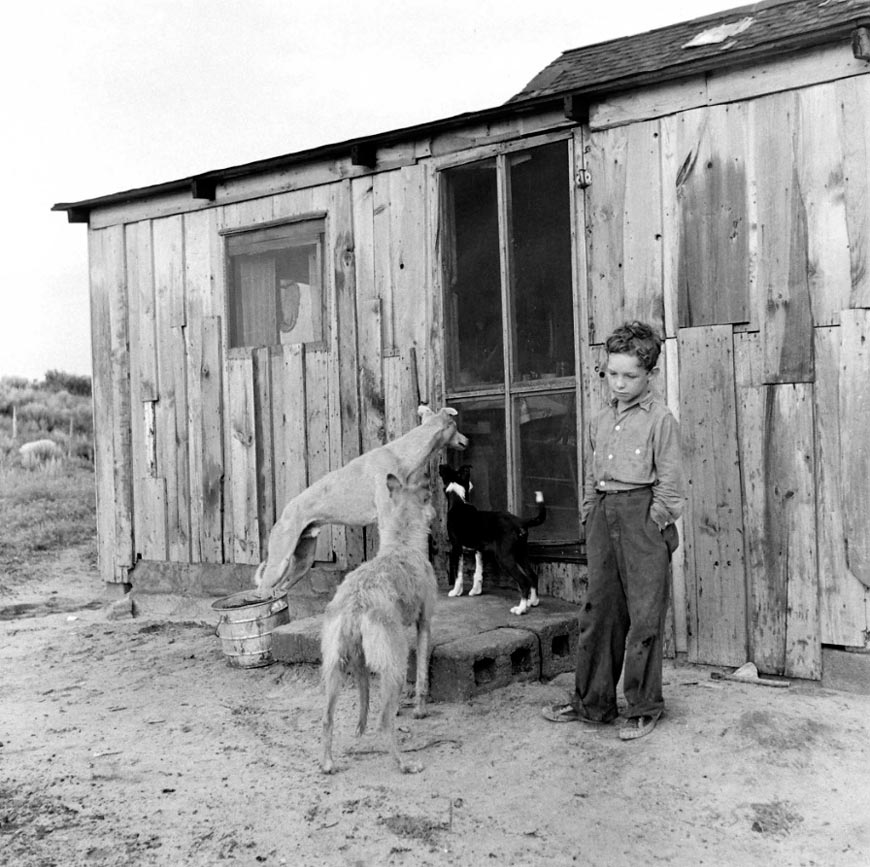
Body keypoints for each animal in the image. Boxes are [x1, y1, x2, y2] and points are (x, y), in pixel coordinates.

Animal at [254, 406, 466, 596]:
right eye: (456, 425)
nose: (467, 440)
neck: (402, 453)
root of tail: (284, 513)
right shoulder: (387, 518)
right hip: (279, 562)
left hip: (302, 562)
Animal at [320, 472, 440, 776]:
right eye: (429, 498)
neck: (402, 544)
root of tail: (355, 604)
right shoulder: (424, 624)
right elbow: (422, 676)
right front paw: (420, 710)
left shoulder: (361, 659)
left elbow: (365, 696)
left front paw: (360, 728)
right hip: (395, 663)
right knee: (384, 722)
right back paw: (405, 764)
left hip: (334, 668)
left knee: (327, 718)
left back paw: (327, 763)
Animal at [440, 464, 548, 612]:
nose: (472, 484)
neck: (459, 502)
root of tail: (519, 521)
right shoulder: (479, 549)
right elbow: (478, 571)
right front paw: (476, 591)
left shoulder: (456, 548)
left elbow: (458, 573)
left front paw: (456, 592)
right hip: (521, 553)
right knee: (532, 576)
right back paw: (533, 601)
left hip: (505, 557)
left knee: (524, 581)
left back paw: (520, 609)